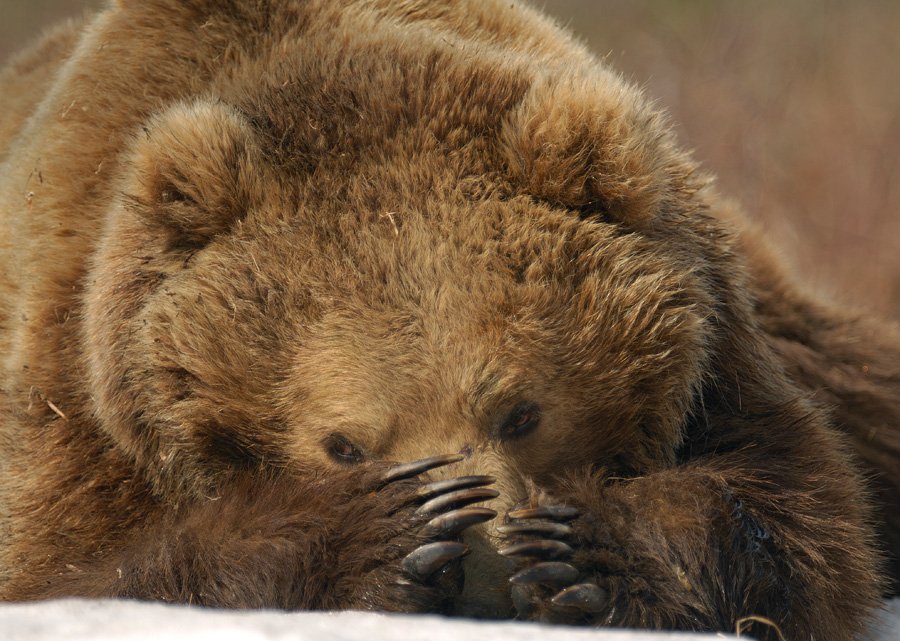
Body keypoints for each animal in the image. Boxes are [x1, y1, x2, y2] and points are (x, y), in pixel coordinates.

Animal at [0, 0, 896, 636]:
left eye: (520, 410)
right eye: (342, 443)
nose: (484, 579)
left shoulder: (718, 353)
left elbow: (798, 513)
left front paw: (576, 549)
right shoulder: (84, 393)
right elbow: (68, 567)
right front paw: (383, 534)